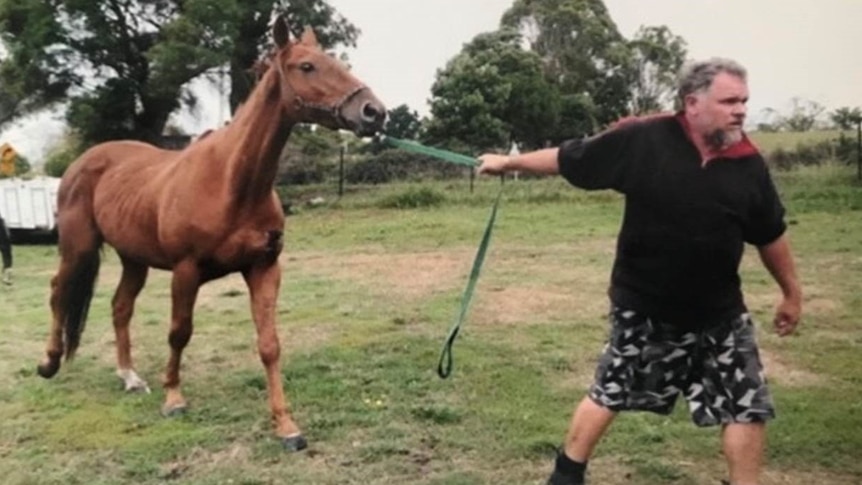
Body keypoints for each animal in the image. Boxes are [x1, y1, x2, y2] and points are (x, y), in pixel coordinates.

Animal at [37, 18, 386, 450]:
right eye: (307, 66)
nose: (373, 112)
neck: (231, 182)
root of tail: (83, 161)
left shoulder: (264, 269)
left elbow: (269, 345)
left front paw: (286, 425)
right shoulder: (186, 271)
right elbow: (178, 333)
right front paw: (174, 398)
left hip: (133, 259)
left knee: (120, 307)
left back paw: (130, 377)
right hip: (78, 248)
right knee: (58, 292)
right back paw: (49, 362)